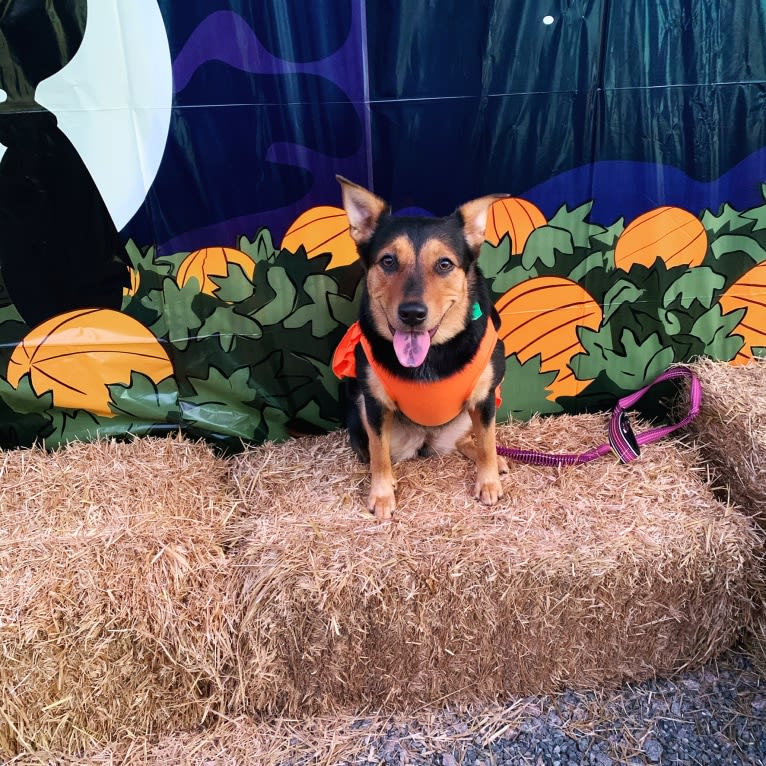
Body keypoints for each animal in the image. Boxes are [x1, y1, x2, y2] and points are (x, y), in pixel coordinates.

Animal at [332, 177, 508, 520]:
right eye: (388, 261)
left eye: (444, 264)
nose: (412, 314)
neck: (432, 356)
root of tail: (427, 440)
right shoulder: (374, 403)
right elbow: (379, 454)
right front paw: (382, 493)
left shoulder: (484, 397)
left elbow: (487, 441)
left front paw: (489, 481)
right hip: (361, 411)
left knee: (472, 439)